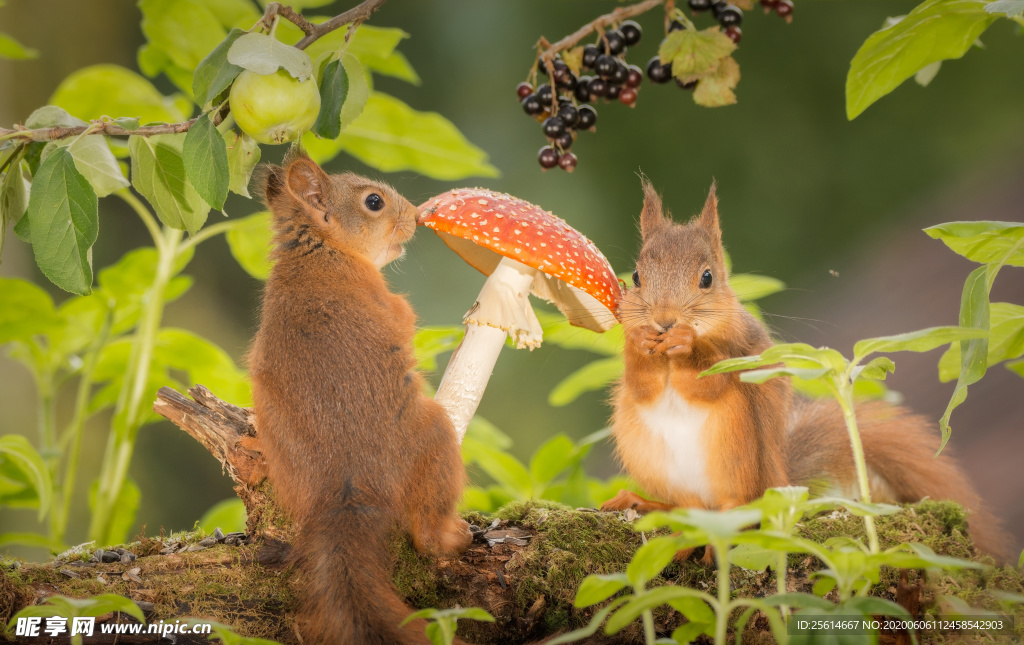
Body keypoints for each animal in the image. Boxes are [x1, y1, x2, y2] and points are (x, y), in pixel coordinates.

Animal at [247, 152, 471, 645]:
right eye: (374, 202)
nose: (416, 216)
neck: (322, 252)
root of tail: (348, 486)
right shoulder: (387, 302)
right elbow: (403, 316)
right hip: (436, 437)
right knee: (427, 534)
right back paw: (453, 537)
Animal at [602, 182, 1011, 561]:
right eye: (635, 276)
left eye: (707, 278)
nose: (665, 321)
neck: (666, 359)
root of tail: (778, 483)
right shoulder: (643, 379)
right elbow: (641, 384)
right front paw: (640, 341)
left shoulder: (738, 356)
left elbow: (709, 381)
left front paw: (686, 342)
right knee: (688, 508)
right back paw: (645, 505)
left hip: (736, 454)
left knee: (734, 508)